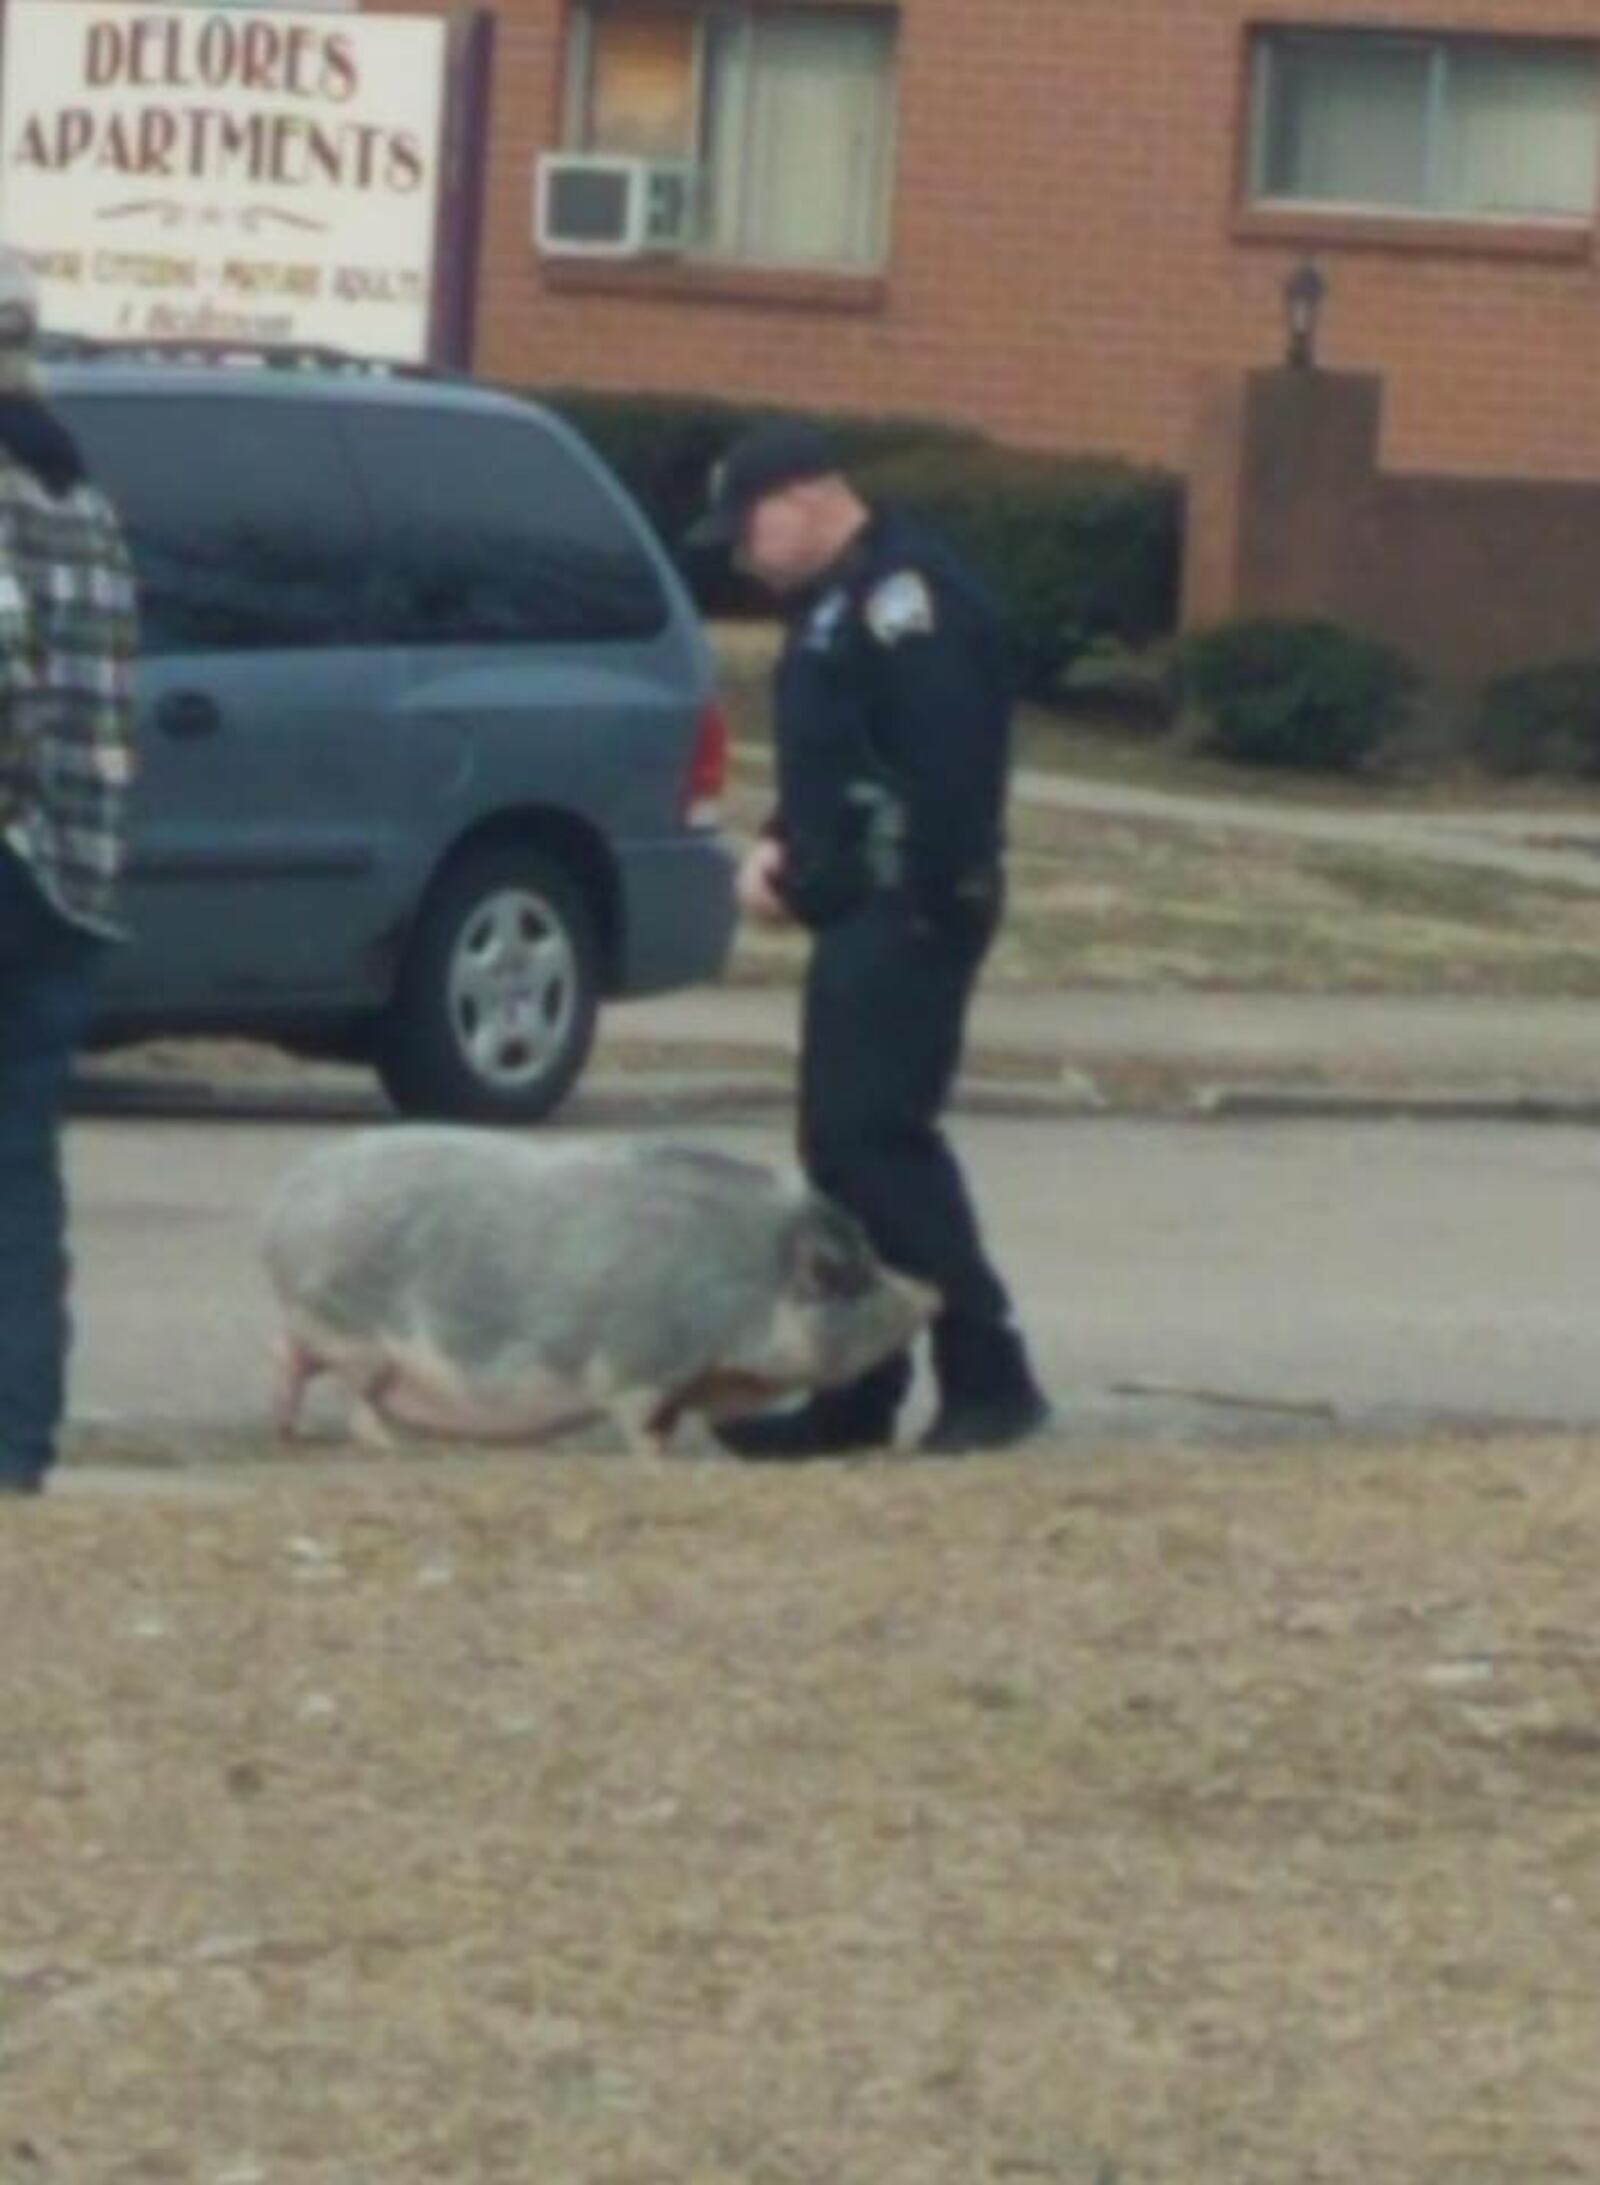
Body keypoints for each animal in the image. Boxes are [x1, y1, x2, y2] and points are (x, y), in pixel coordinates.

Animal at [257, 1127, 935, 1468]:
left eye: (869, 1258)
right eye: (847, 1275)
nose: (933, 1291)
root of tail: (285, 1202)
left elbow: (665, 1422)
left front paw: (666, 1452)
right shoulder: (641, 1366)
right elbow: (637, 1420)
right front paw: (655, 1463)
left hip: (315, 1331)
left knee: (289, 1364)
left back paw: (289, 1433)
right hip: (354, 1335)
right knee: (354, 1401)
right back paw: (389, 1446)